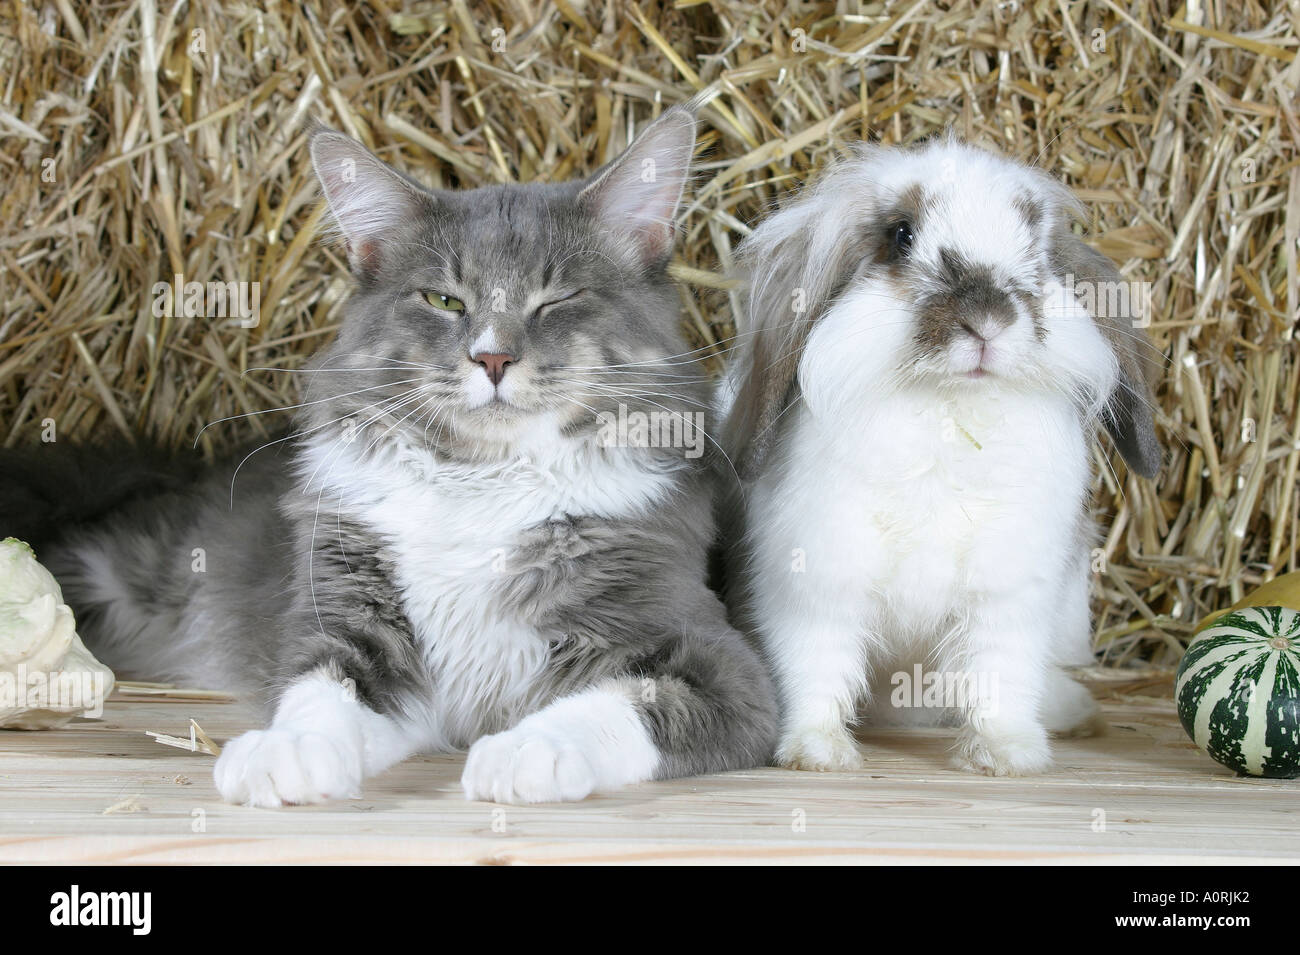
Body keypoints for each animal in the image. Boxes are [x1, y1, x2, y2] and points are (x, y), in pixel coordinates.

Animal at [719, 136, 1161, 776]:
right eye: (901, 235)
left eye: (1036, 246)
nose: (986, 322)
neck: (948, 408)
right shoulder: (816, 582)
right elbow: (816, 665)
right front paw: (816, 751)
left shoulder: (1007, 592)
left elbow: (1000, 671)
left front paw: (1008, 754)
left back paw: (1073, 713)